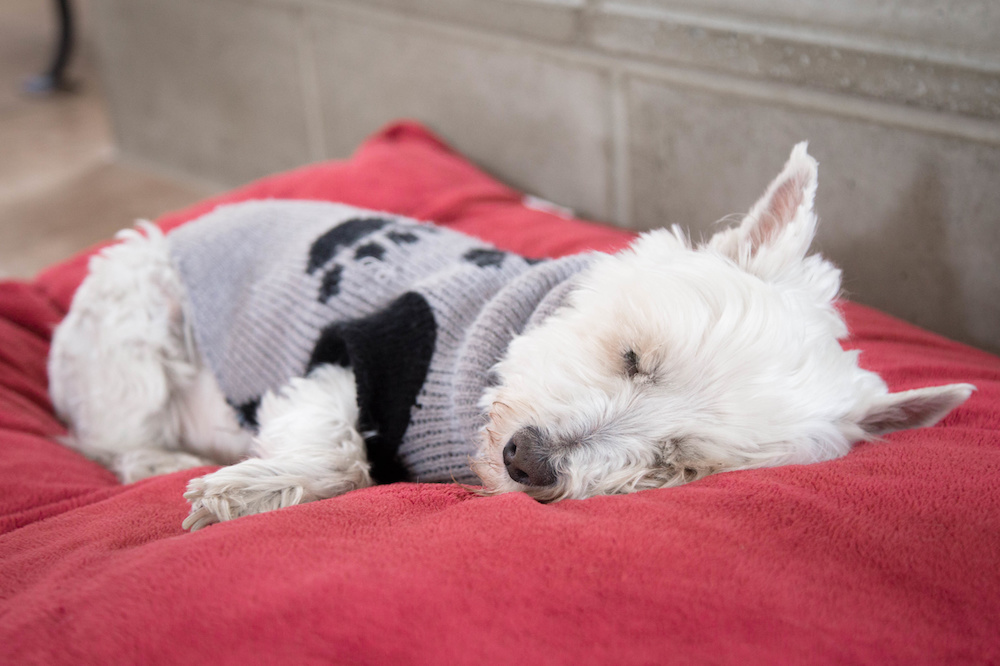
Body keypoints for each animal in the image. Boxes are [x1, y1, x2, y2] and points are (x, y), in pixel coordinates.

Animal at [48, 145, 976, 528]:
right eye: (632, 356)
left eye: (681, 462)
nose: (531, 461)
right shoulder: (347, 354)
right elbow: (341, 450)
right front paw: (248, 488)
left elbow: (351, 463)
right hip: (136, 310)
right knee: (111, 433)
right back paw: (163, 461)